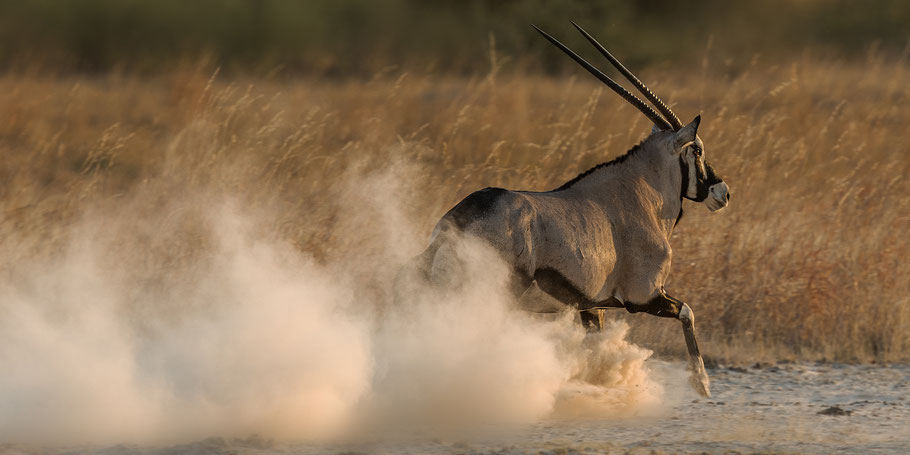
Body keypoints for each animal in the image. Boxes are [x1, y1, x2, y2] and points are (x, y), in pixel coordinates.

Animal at [414, 23, 732, 398]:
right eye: (697, 150)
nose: (723, 192)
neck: (642, 194)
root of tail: (459, 220)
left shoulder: (591, 307)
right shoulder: (645, 296)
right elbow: (688, 312)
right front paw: (702, 383)